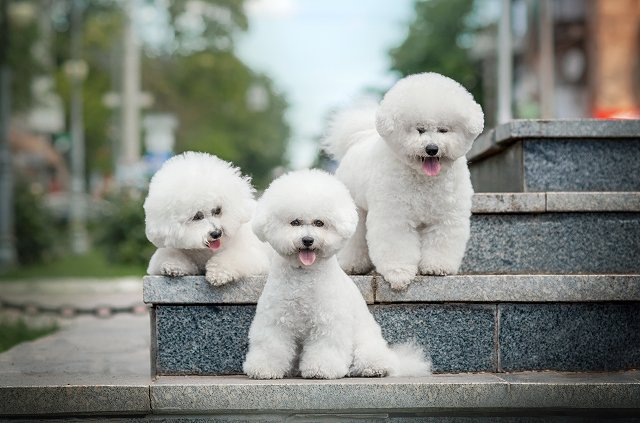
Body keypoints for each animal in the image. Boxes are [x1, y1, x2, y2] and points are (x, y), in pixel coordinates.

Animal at [144, 151, 272, 286]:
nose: (216, 233)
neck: (206, 252)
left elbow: (232, 258)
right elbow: (168, 256)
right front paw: (173, 266)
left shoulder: (251, 256)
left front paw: (218, 273)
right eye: (197, 216)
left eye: (217, 210)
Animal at [242, 170, 432, 380]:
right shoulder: (275, 319)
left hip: (366, 342)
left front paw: (321, 369)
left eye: (319, 223)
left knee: (374, 358)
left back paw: (375, 368)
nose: (307, 240)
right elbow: (271, 345)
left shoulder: (328, 320)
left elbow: (326, 346)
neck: (303, 276)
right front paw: (264, 368)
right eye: (295, 222)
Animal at [324, 73, 484, 292]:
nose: (432, 148)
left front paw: (436, 267)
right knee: (355, 238)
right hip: (355, 207)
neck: (424, 178)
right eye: (419, 129)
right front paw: (398, 273)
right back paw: (352, 265)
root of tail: (358, 139)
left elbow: (441, 240)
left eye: (443, 130)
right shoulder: (395, 216)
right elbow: (397, 244)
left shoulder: (446, 216)